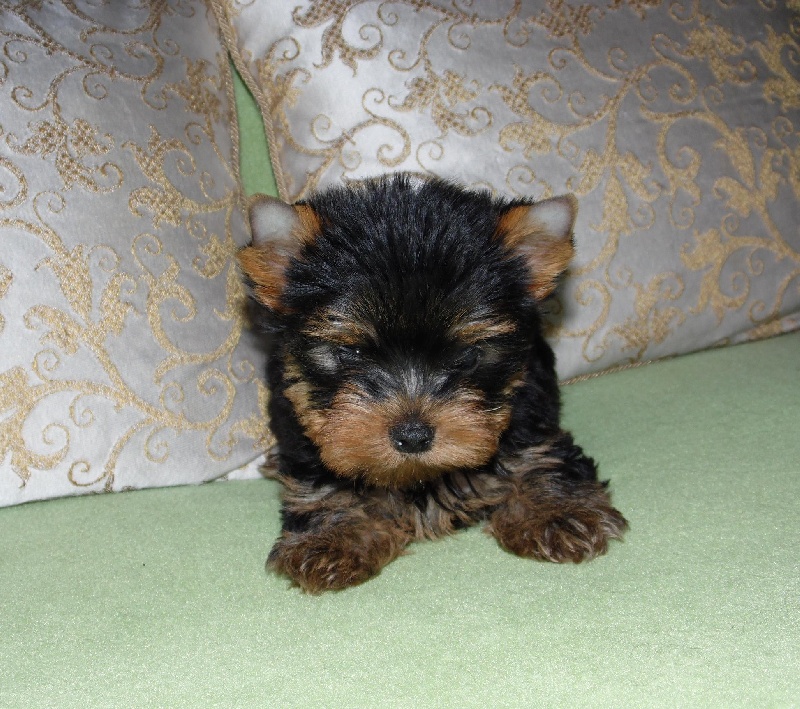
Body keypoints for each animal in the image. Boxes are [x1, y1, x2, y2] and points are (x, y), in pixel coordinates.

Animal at [238, 174, 627, 593]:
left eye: (468, 356)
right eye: (352, 354)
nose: (413, 436)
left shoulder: (529, 407)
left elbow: (541, 454)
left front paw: (558, 512)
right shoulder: (303, 420)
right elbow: (324, 476)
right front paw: (331, 538)